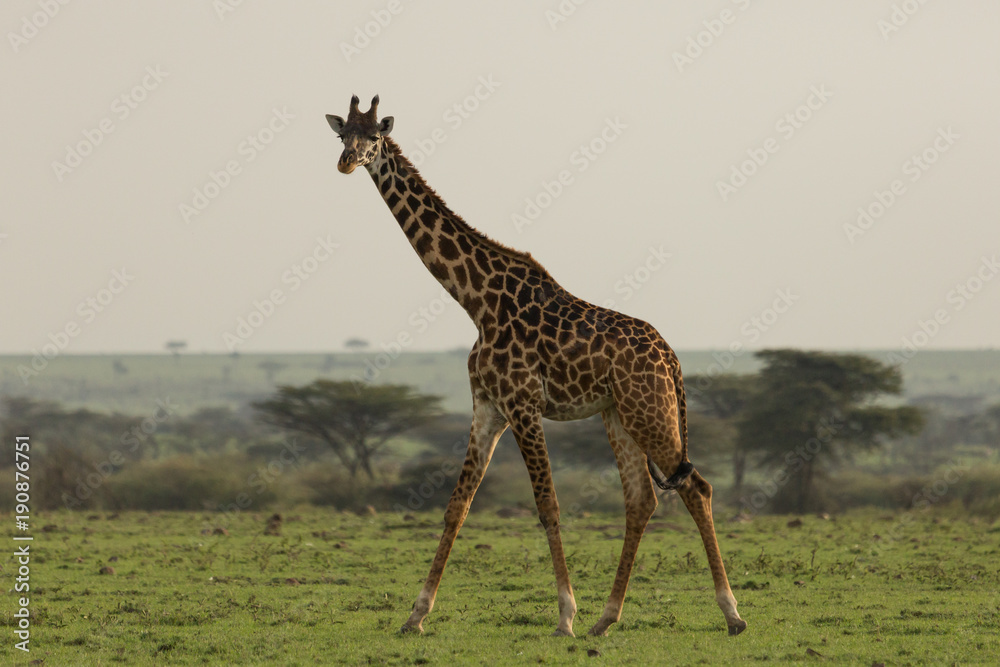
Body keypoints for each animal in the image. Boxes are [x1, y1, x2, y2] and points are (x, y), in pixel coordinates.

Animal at [326, 95, 747, 638]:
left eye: (375, 136)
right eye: (342, 136)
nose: (346, 162)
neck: (475, 301)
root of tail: (671, 357)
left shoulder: (524, 405)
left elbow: (548, 506)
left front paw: (565, 615)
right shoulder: (488, 407)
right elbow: (457, 507)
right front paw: (415, 615)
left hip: (649, 410)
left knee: (696, 486)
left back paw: (731, 613)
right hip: (619, 414)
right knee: (642, 499)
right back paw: (607, 618)